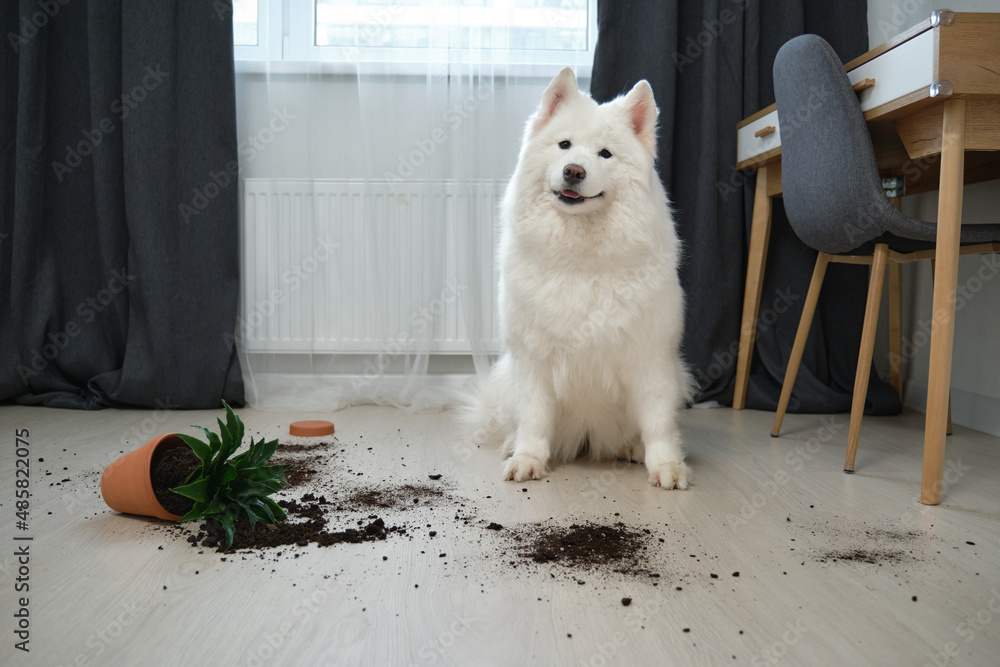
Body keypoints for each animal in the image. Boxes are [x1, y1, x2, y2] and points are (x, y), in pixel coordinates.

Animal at [464, 68, 692, 490]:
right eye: (564, 145)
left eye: (605, 153)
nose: (574, 170)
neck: (581, 258)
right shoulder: (533, 358)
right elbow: (535, 418)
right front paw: (528, 459)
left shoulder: (650, 357)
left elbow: (658, 423)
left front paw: (667, 466)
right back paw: (511, 444)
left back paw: (633, 448)